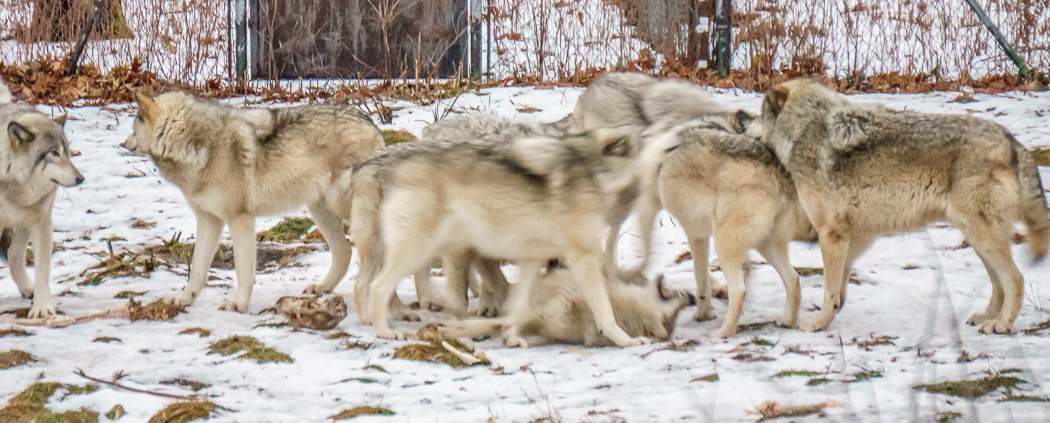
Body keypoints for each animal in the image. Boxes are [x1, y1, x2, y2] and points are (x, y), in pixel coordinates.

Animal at [0, 79, 84, 319]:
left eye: (67, 152)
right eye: (53, 153)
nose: (80, 178)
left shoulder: (41, 223)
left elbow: (42, 271)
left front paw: (43, 308)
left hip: (26, 222)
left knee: (14, 254)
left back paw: (28, 289)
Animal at [123, 91, 386, 312]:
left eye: (134, 126)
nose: (122, 143)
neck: (198, 145)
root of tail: (371, 124)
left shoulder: (240, 219)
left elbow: (243, 270)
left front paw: (238, 304)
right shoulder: (209, 220)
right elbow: (197, 270)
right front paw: (183, 300)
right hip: (321, 210)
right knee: (344, 251)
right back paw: (322, 289)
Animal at [630, 119, 810, 337]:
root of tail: (776, 170)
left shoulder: (658, 213)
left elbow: (692, 277)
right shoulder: (698, 234)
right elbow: (701, 278)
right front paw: (704, 313)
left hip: (725, 244)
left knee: (740, 291)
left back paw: (723, 333)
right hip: (765, 246)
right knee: (794, 279)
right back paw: (787, 321)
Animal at [764, 78, 1050, 333]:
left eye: (757, 116)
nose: (749, 127)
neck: (806, 130)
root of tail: (1012, 141)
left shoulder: (831, 233)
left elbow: (829, 289)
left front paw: (817, 325)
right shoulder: (855, 236)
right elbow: (839, 288)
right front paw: (831, 314)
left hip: (983, 237)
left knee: (1015, 280)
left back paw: (1001, 325)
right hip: (977, 239)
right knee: (998, 282)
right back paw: (987, 317)